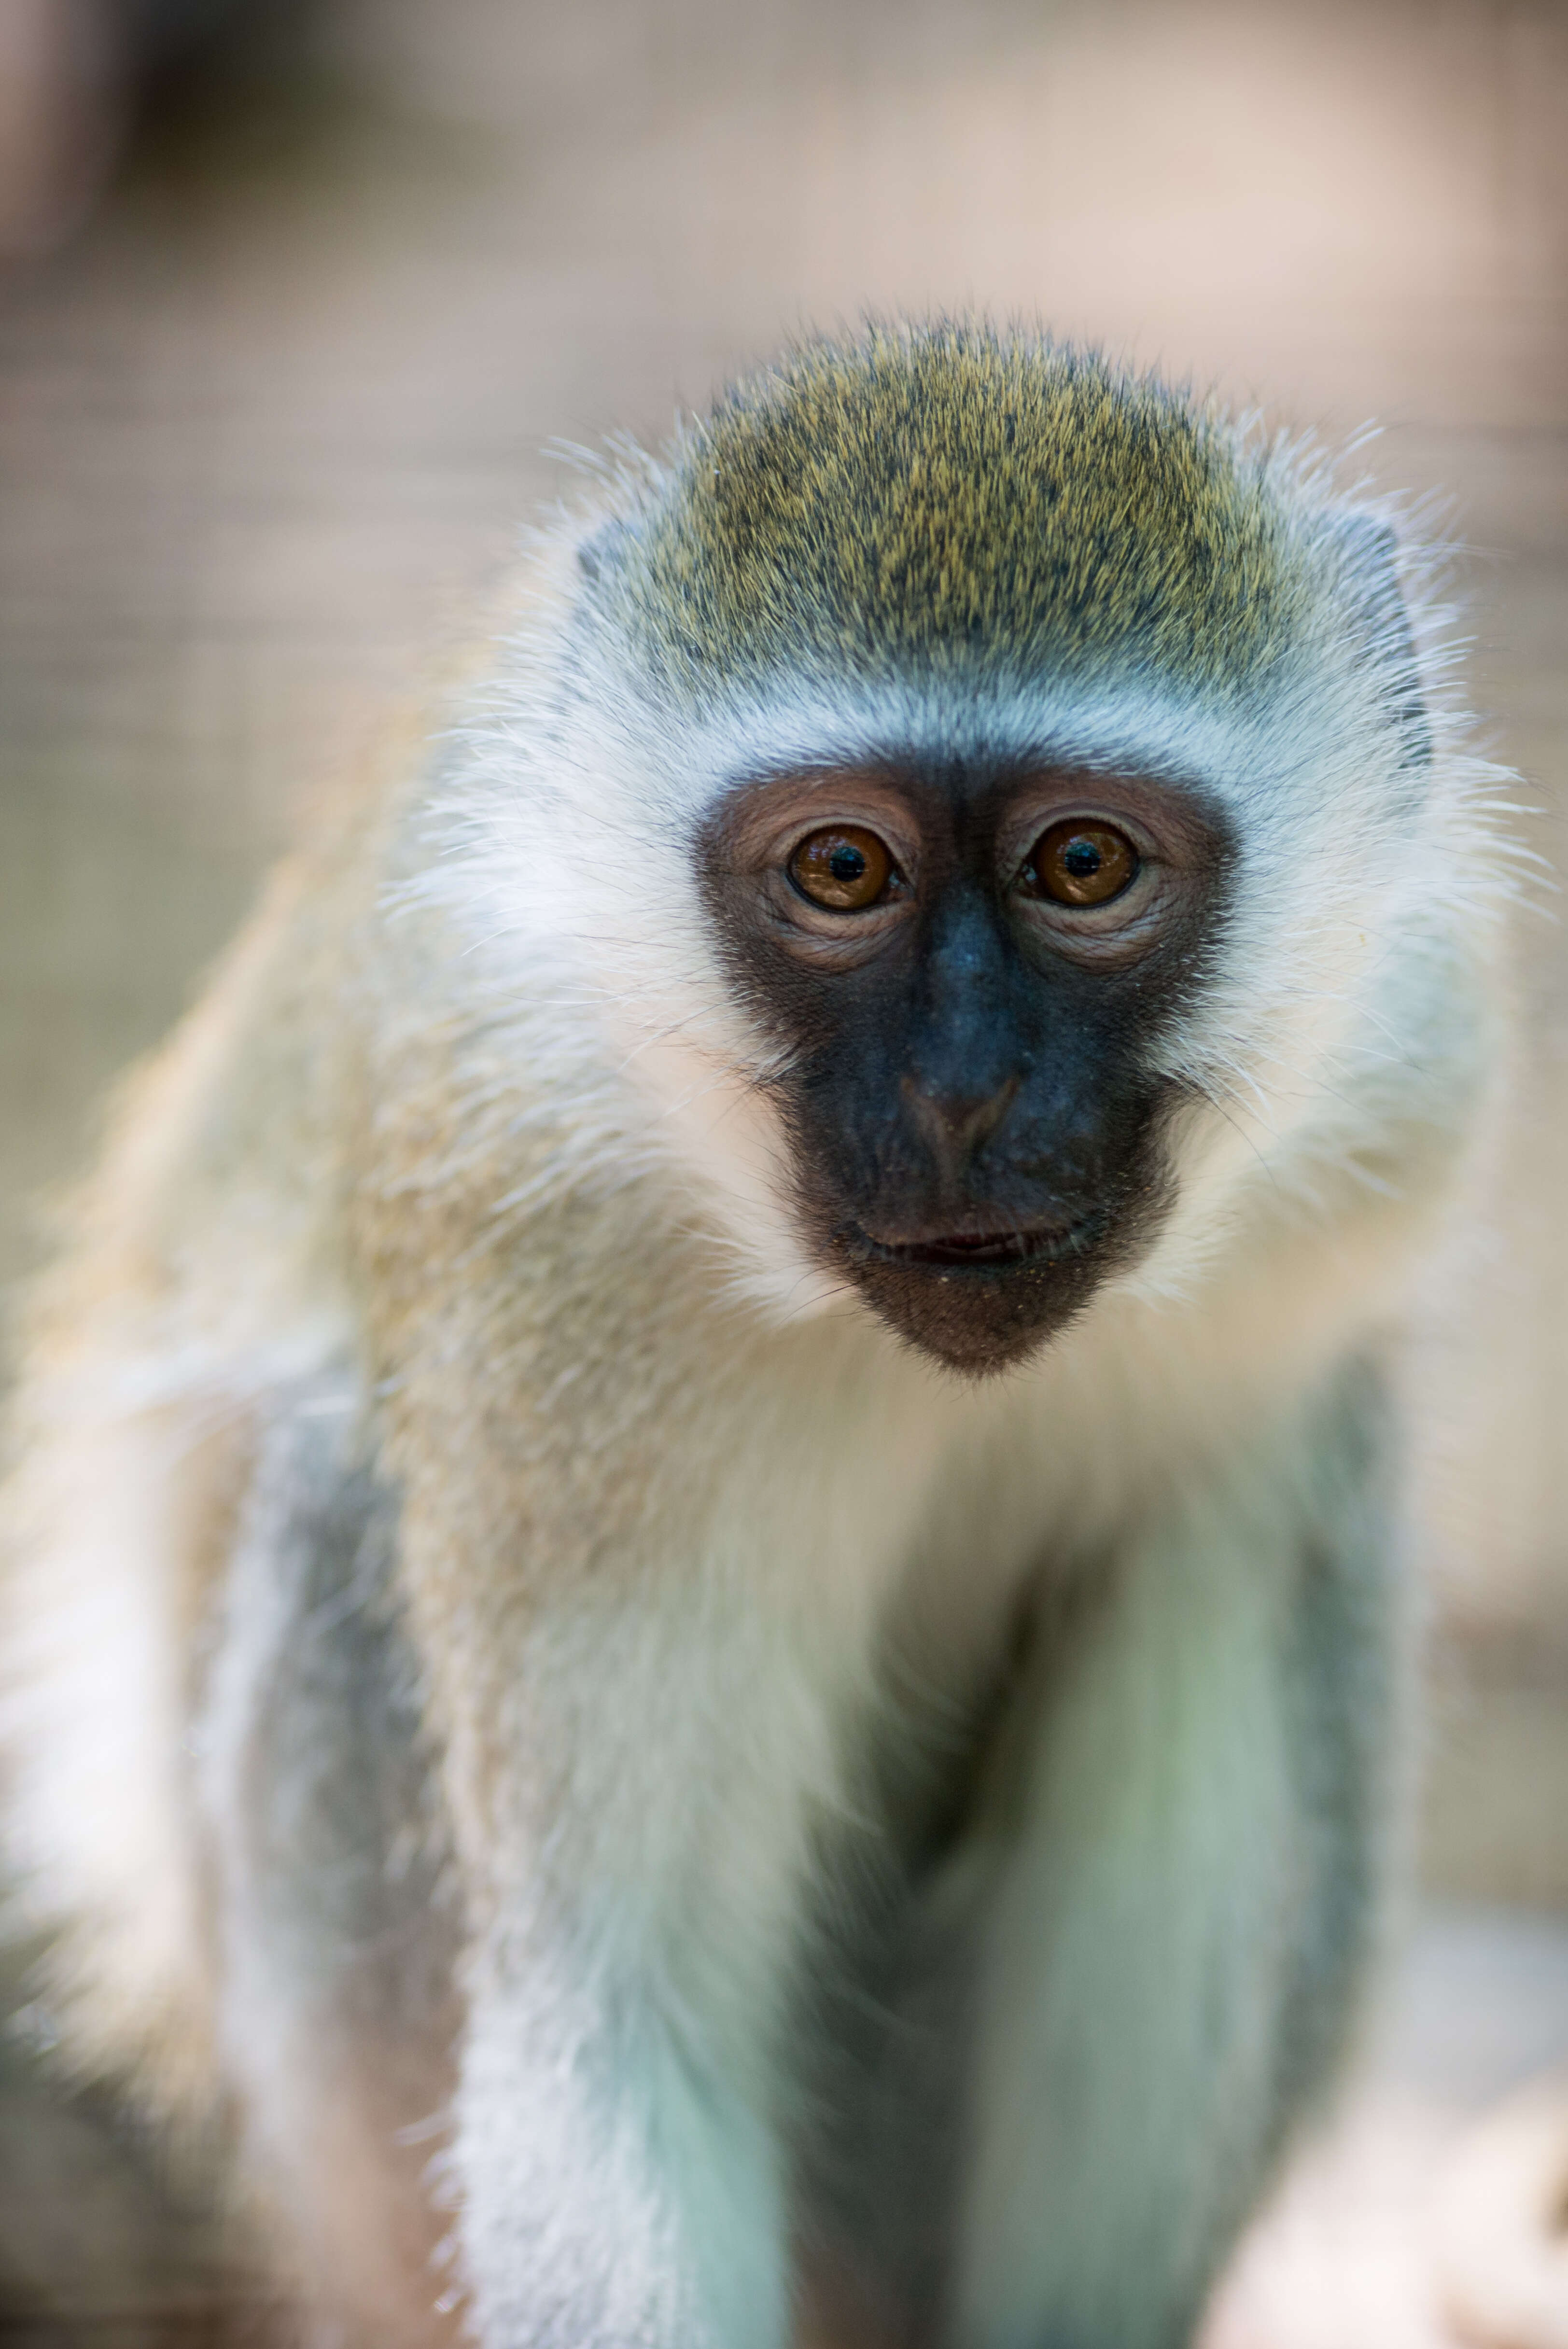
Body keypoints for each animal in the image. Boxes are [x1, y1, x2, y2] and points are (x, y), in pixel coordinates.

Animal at [0, 322, 1504, 2339]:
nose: (961, 1092)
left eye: (1083, 865)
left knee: (1249, 1512)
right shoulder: (552, 1253)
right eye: (843, 872)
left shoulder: (1407, 1071)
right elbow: (615, 2044)